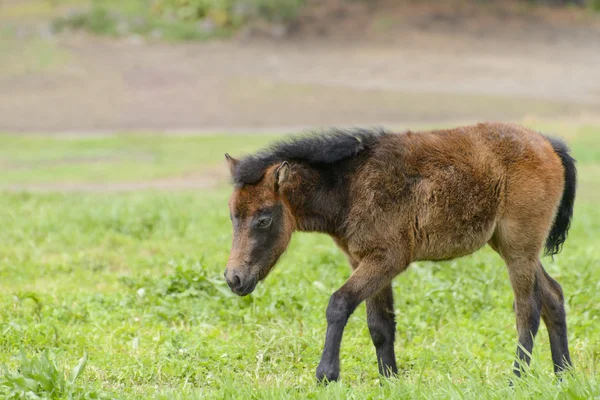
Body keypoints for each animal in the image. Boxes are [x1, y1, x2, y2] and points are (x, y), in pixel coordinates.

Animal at [225, 121, 576, 382]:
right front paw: (390, 379)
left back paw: (517, 378)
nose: (234, 279)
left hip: (519, 249)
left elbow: (339, 303)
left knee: (527, 310)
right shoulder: (365, 261)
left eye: (264, 219)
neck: (350, 187)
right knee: (553, 297)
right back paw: (563, 375)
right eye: (232, 215)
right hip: (513, 246)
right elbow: (380, 325)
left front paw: (326, 374)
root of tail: (546, 142)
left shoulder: (387, 259)